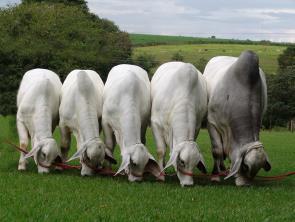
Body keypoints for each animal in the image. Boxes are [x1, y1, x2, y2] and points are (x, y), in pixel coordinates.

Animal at [205, 50, 272, 186]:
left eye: (258, 170)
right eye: (245, 166)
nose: (245, 184)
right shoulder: (212, 123)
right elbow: (217, 151)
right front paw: (215, 176)